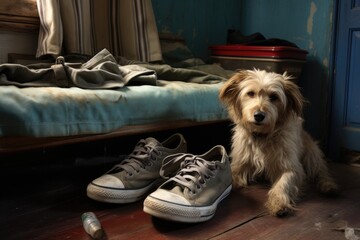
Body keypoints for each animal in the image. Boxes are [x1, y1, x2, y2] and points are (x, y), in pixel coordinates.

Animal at [218, 68, 338, 217]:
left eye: (274, 97)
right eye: (250, 93)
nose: (259, 115)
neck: (262, 136)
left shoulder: (291, 167)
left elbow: (283, 183)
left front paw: (279, 202)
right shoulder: (239, 165)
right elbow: (231, 176)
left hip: (312, 154)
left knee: (321, 171)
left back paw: (328, 186)